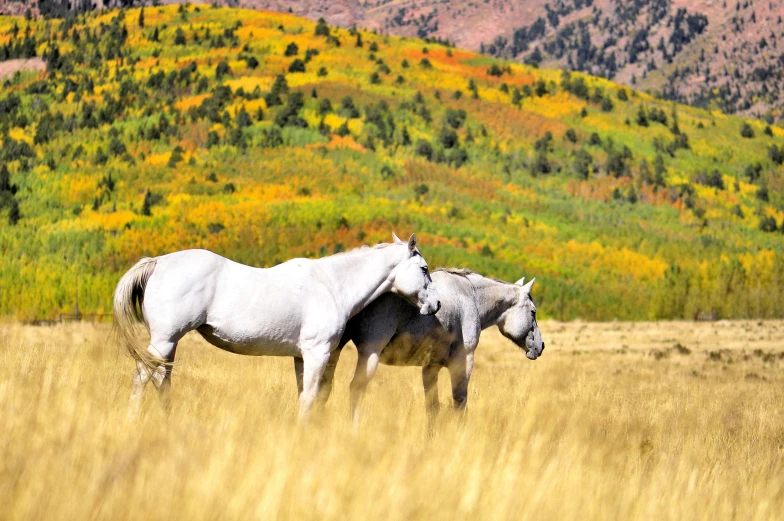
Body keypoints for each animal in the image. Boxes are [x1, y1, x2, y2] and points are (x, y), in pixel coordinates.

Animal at [114, 234, 440, 416]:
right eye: (424, 269)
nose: (435, 304)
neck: (331, 284)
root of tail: (158, 262)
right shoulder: (316, 353)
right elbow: (310, 397)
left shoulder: (301, 357)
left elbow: (305, 395)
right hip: (164, 340)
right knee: (142, 377)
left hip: (168, 344)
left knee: (161, 381)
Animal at [318, 268, 544, 422]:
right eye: (533, 312)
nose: (540, 346)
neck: (471, 296)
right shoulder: (463, 363)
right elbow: (460, 403)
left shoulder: (430, 368)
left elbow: (432, 408)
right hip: (368, 354)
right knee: (355, 389)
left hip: (334, 351)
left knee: (323, 388)